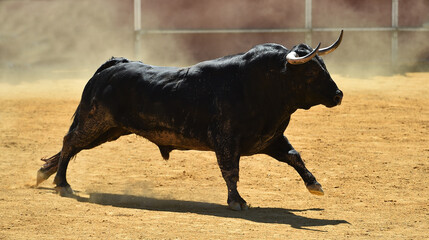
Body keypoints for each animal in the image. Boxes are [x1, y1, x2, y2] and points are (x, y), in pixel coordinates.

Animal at [36, 31, 344, 210]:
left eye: (324, 66)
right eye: (311, 72)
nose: (339, 95)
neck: (259, 84)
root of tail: (113, 65)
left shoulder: (270, 139)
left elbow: (294, 156)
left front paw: (315, 186)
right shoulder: (226, 141)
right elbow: (231, 171)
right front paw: (237, 202)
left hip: (109, 130)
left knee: (71, 147)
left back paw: (45, 174)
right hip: (96, 122)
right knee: (70, 142)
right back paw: (62, 184)